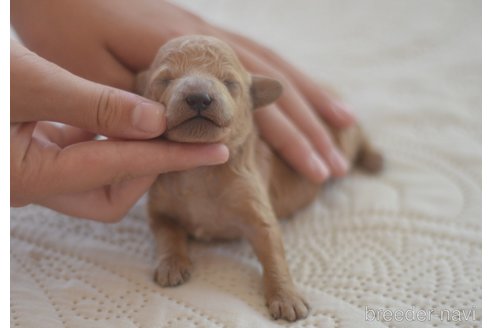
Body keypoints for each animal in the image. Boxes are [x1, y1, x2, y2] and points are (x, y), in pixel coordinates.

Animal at [136, 35, 382, 320]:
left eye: (229, 82)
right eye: (165, 79)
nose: (199, 98)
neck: (199, 170)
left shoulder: (256, 206)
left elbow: (273, 251)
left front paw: (286, 298)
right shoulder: (159, 208)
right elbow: (167, 233)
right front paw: (171, 264)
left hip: (344, 132)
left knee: (360, 137)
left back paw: (373, 158)